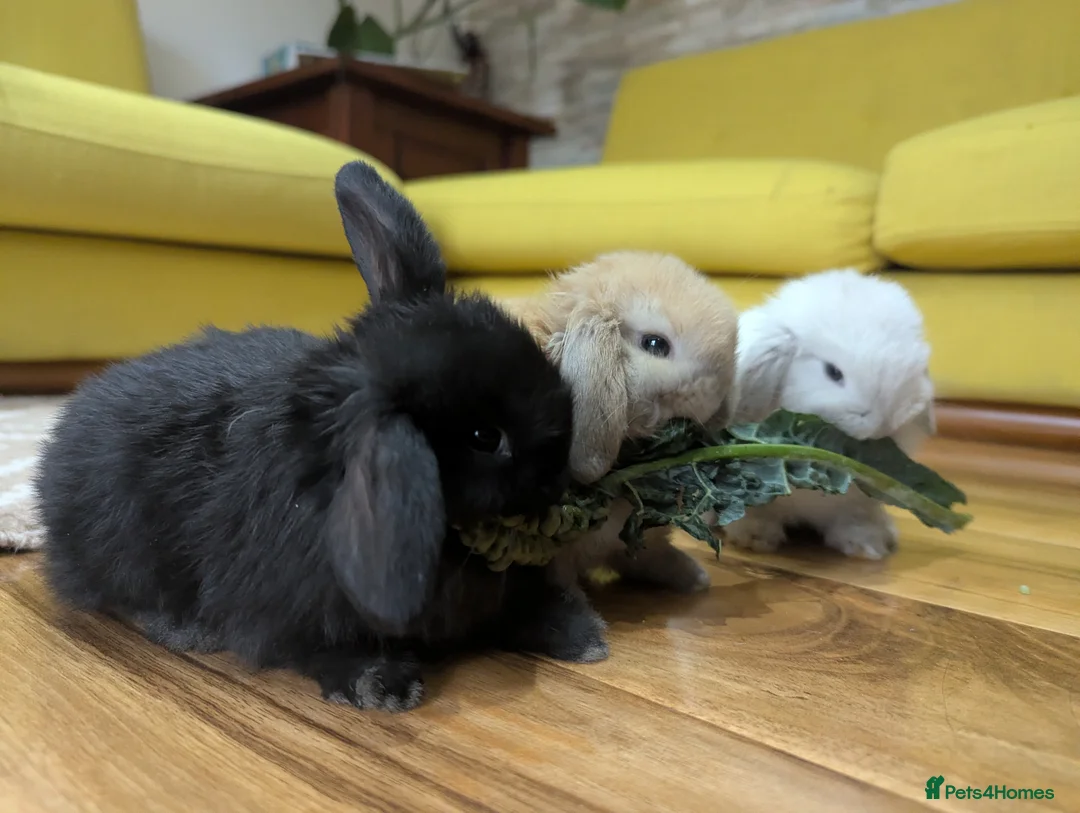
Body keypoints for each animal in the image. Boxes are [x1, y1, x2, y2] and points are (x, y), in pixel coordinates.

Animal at [33, 160, 610, 714]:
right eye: (485, 436)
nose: (560, 476)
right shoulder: (283, 610)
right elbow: (309, 647)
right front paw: (380, 684)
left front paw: (584, 636)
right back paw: (185, 630)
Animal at [501, 251, 740, 597]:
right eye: (654, 344)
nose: (716, 398)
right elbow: (560, 577)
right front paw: (575, 600)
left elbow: (645, 556)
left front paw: (695, 579)